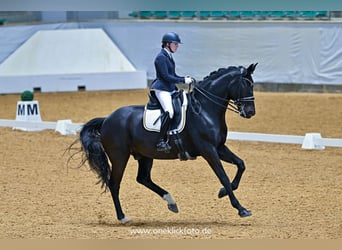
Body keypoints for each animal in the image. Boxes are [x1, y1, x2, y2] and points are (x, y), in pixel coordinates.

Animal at [75, 63, 256, 224]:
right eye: (247, 84)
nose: (250, 112)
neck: (204, 109)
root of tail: (107, 119)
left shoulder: (219, 147)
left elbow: (241, 164)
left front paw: (223, 192)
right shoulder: (208, 150)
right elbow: (223, 176)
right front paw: (241, 209)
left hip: (145, 155)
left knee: (143, 178)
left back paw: (171, 202)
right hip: (119, 157)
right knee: (114, 184)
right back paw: (123, 217)